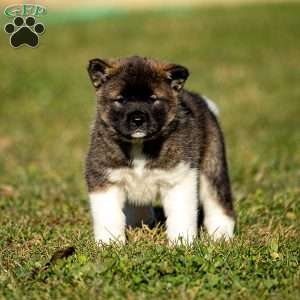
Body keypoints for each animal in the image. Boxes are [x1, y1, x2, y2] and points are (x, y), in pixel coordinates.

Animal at [84, 55, 234, 244]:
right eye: (121, 99)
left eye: (152, 99)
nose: (138, 120)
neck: (139, 145)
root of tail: (203, 103)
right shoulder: (104, 179)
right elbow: (109, 217)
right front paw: (110, 244)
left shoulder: (178, 179)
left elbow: (181, 216)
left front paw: (181, 244)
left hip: (212, 164)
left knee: (217, 201)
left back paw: (222, 234)